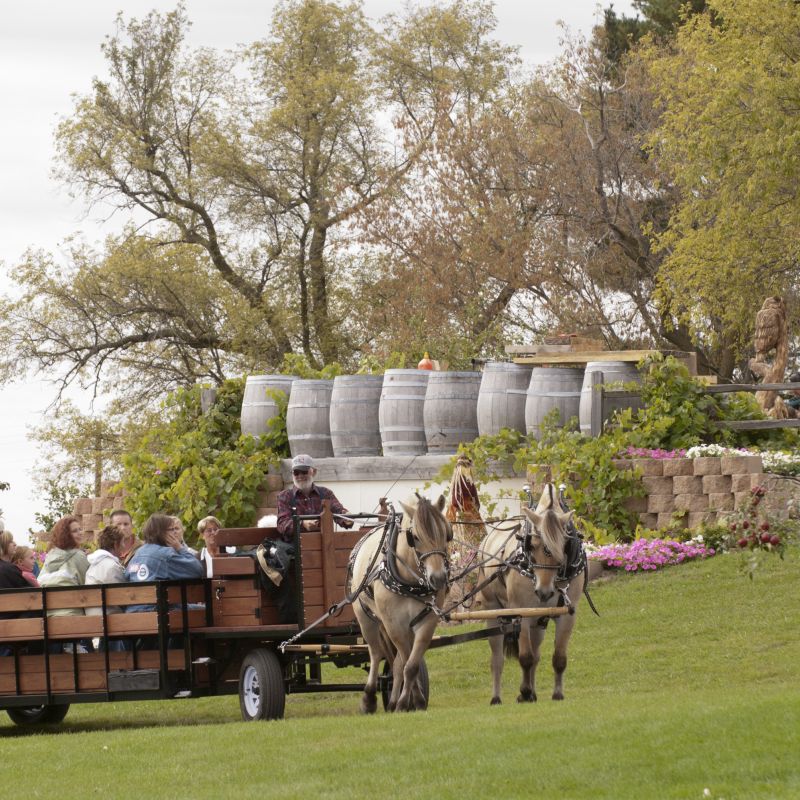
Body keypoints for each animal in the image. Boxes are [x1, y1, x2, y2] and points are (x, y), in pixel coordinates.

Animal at [348, 494, 450, 712]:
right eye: (415, 537)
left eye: (447, 534)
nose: (438, 578)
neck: (410, 582)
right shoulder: (395, 624)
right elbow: (405, 662)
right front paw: (406, 702)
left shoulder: (426, 622)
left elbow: (410, 665)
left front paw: (413, 701)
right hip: (366, 619)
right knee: (375, 652)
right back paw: (369, 698)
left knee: (396, 662)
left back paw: (393, 700)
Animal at [476, 484, 588, 704]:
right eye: (532, 546)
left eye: (564, 546)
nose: (543, 592)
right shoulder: (521, 614)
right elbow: (525, 657)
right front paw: (525, 692)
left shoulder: (566, 615)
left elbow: (558, 658)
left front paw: (556, 694)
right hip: (493, 611)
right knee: (497, 660)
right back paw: (496, 697)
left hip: (539, 621)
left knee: (536, 655)